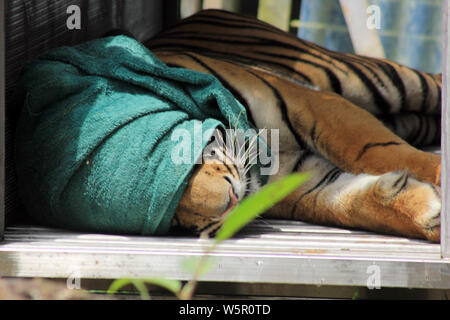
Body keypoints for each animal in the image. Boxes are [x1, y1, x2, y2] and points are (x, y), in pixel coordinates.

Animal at [142, 8, 442, 241]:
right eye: (174, 222)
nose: (229, 204)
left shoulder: (309, 102)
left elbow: (373, 150)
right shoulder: (298, 177)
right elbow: (343, 203)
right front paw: (429, 211)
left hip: (367, 77)